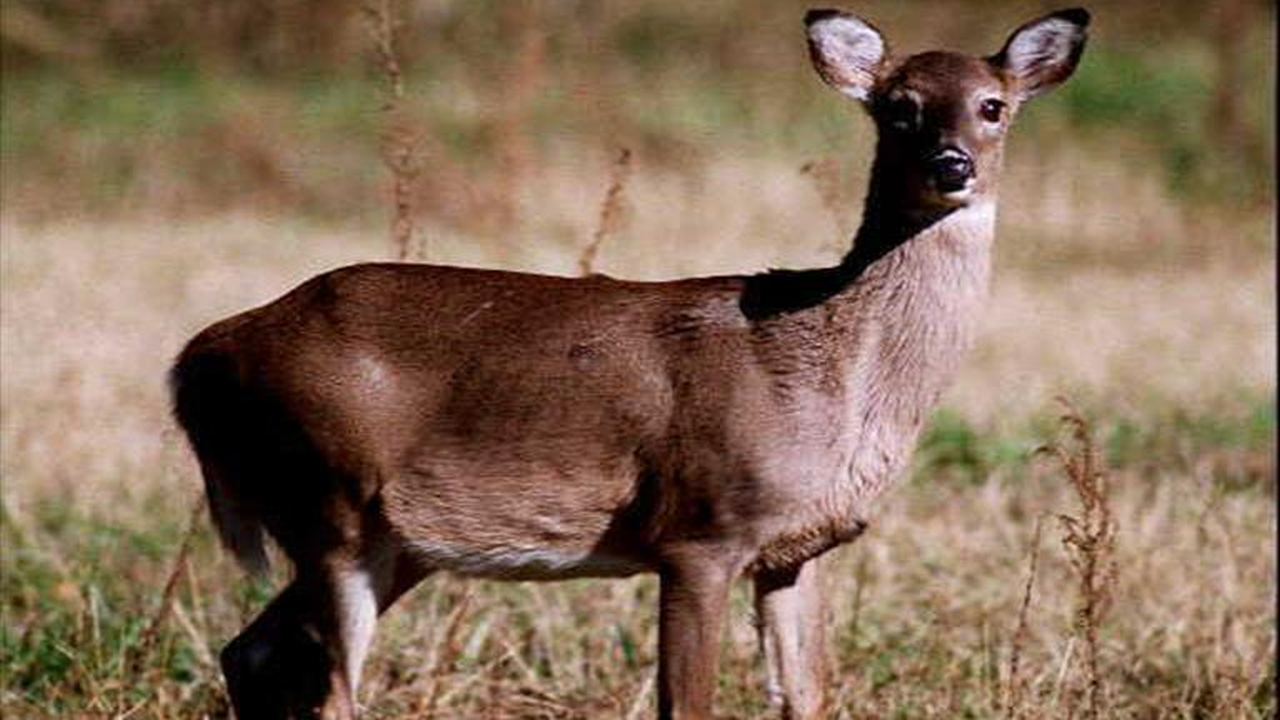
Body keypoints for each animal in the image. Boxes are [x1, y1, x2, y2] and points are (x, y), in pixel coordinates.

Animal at [170, 7, 1089, 719]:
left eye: (993, 106)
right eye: (899, 108)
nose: (950, 164)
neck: (832, 367)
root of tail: (201, 355)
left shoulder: (798, 548)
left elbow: (808, 696)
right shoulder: (699, 526)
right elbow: (688, 703)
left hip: (390, 539)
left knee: (249, 653)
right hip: (332, 502)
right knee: (328, 690)